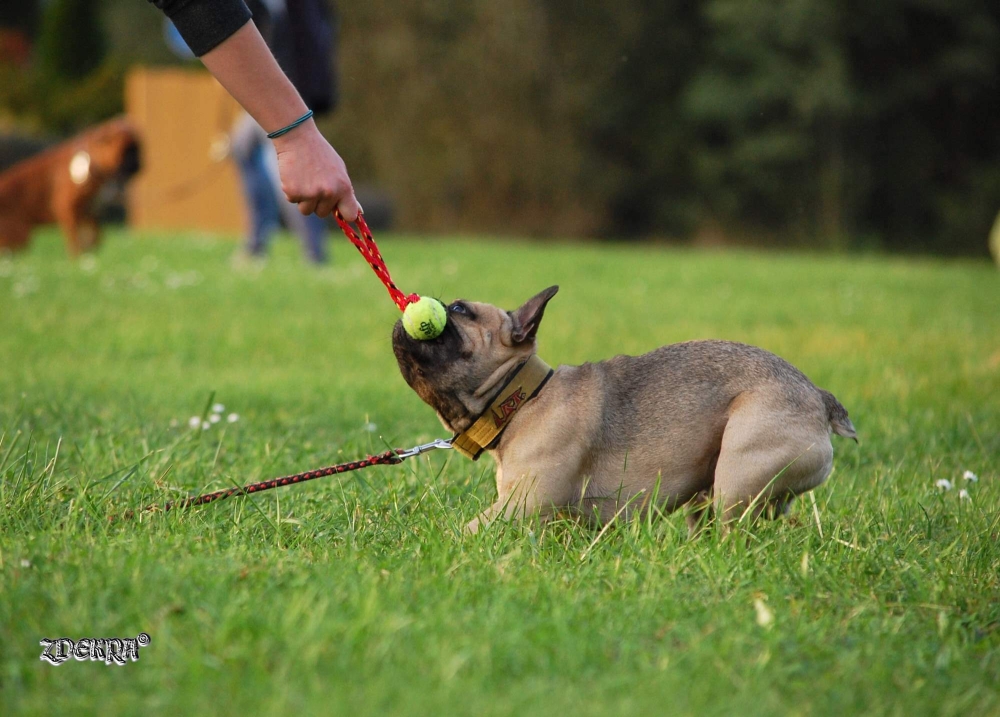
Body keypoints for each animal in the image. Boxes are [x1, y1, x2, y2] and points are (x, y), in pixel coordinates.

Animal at [0, 119, 141, 258]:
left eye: (138, 149)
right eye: (127, 152)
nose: (138, 163)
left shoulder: (90, 212)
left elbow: (94, 238)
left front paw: (91, 254)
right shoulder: (68, 209)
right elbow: (75, 238)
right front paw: (78, 256)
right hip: (18, 235)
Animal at [392, 286, 860, 532]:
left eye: (459, 310)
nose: (409, 305)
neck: (521, 399)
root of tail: (819, 398)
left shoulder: (520, 505)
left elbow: (468, 530)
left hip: (739, 470)